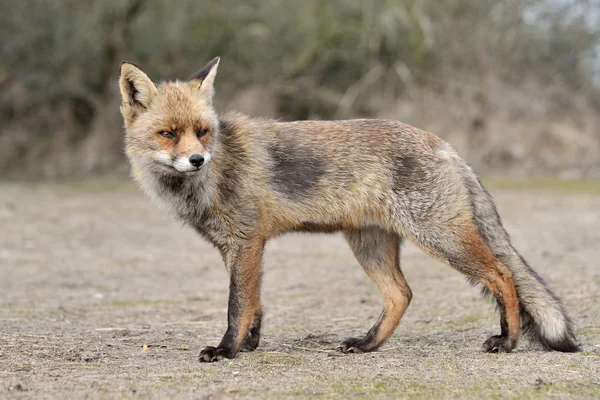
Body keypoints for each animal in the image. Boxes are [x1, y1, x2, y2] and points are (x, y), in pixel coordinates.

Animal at [118, 57, 580, 362]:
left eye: (202, 132)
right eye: (168, 134)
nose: (197, 160)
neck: (210, 177)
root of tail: (442, 143)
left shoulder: (247, 241)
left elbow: (237, 305)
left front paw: (228, 349)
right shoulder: (237, 247)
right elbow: (254, 303)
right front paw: (249, 344)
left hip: (441, 237)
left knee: (503, 276)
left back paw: (507, 341)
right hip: (369, 244)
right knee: (401, 294)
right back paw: (367, 343)